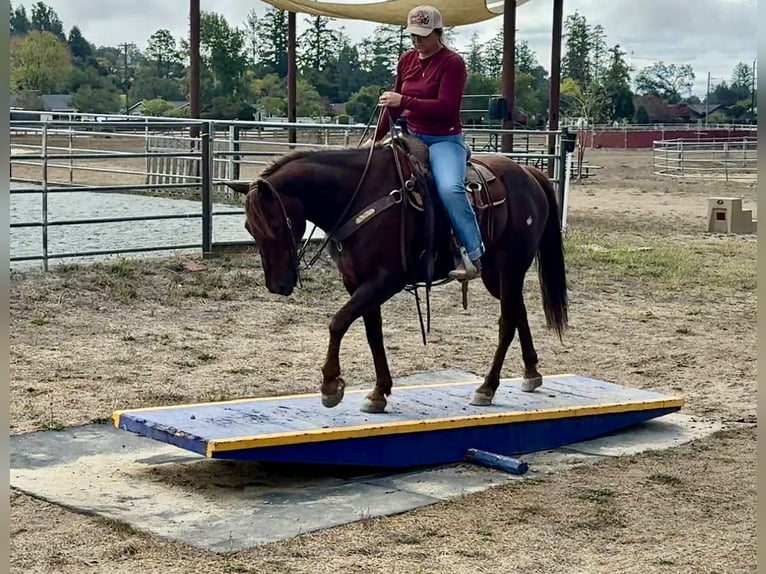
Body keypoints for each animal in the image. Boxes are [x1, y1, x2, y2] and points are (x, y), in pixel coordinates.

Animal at [224, 134, 568, 413]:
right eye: (249, 228)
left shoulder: (386, 279)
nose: (277, 285)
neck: (358, 195)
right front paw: (378, 393)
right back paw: (531, 373)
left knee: (507, 321)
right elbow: (371, 333)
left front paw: (331, 385)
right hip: (496, 275)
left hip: (511, 267)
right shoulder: (358, 283)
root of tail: (528, 173)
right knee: (518, 310)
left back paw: (487, 387)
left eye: (277, 223)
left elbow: (338, 322)